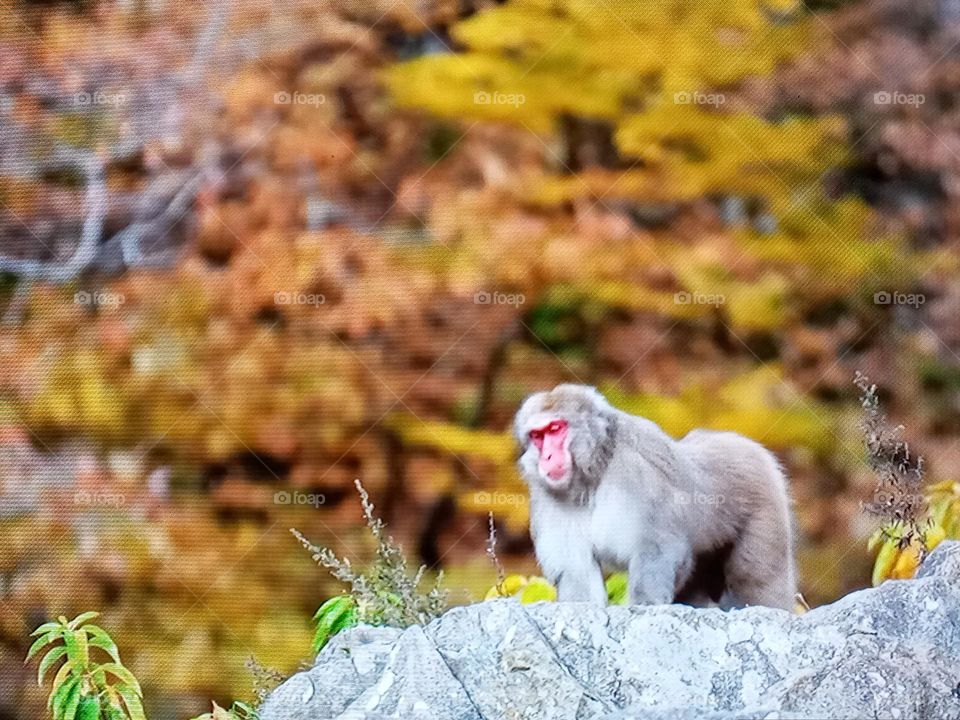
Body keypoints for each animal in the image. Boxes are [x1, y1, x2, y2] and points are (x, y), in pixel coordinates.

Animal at [513, 384, 796, 610]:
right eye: (537, 436)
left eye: (556, 428)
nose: (547, 457)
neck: (596, 469)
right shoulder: (547, 495)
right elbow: (576, 568)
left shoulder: (637, 470)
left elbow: (656, 548)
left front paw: (645, 604)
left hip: (767, 509)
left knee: (753, 578)